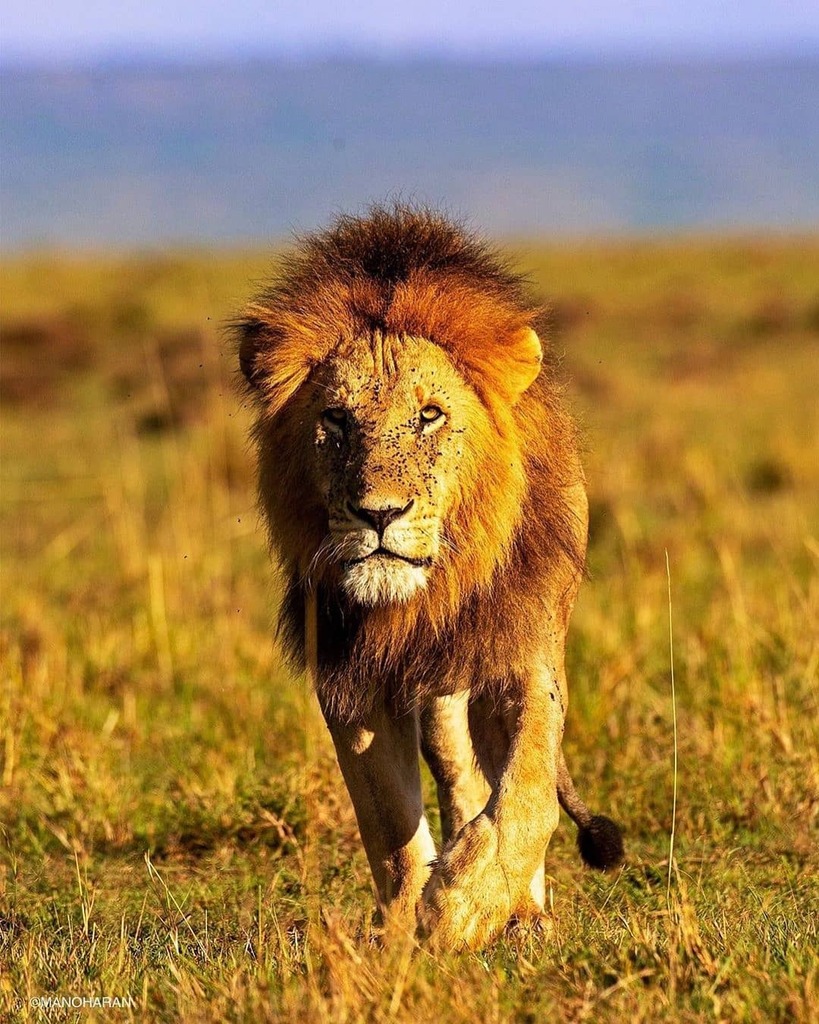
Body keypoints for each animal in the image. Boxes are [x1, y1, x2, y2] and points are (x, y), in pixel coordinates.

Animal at [236, 205, 623, 950]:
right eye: (335, 419)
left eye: (429, 415)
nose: (378, 514)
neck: (420, 600)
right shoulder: (351, 675)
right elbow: (388, 821)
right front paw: (405, 927)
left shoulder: (523, 650)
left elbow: (529, 790)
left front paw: (470, 903)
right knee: (457, 767)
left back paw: (519, 909)